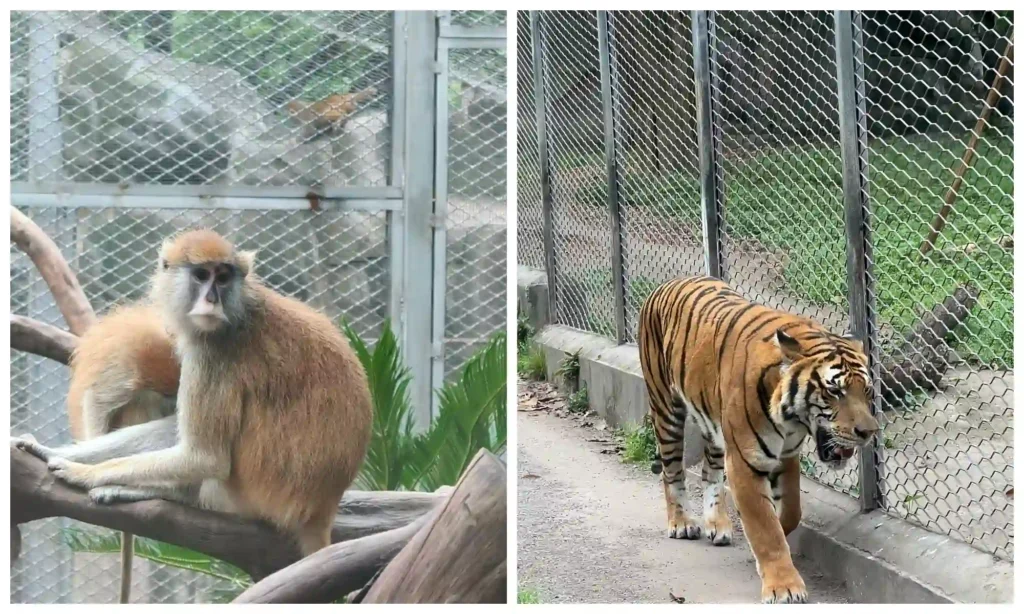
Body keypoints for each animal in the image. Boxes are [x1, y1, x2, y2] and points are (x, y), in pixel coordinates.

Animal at [638, 276, 879, 604]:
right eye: (834, 391)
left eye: (866, 391)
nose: (869, 432)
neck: (791, 421)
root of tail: (669, 282)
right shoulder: (746, 461)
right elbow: (765, 528)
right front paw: (784, 587)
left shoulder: (786, 456)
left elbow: (790, 512)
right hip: (666, 408)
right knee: (671, 470)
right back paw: (682, 523)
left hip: (713, 425)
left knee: (710, 472)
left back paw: (718, 524)